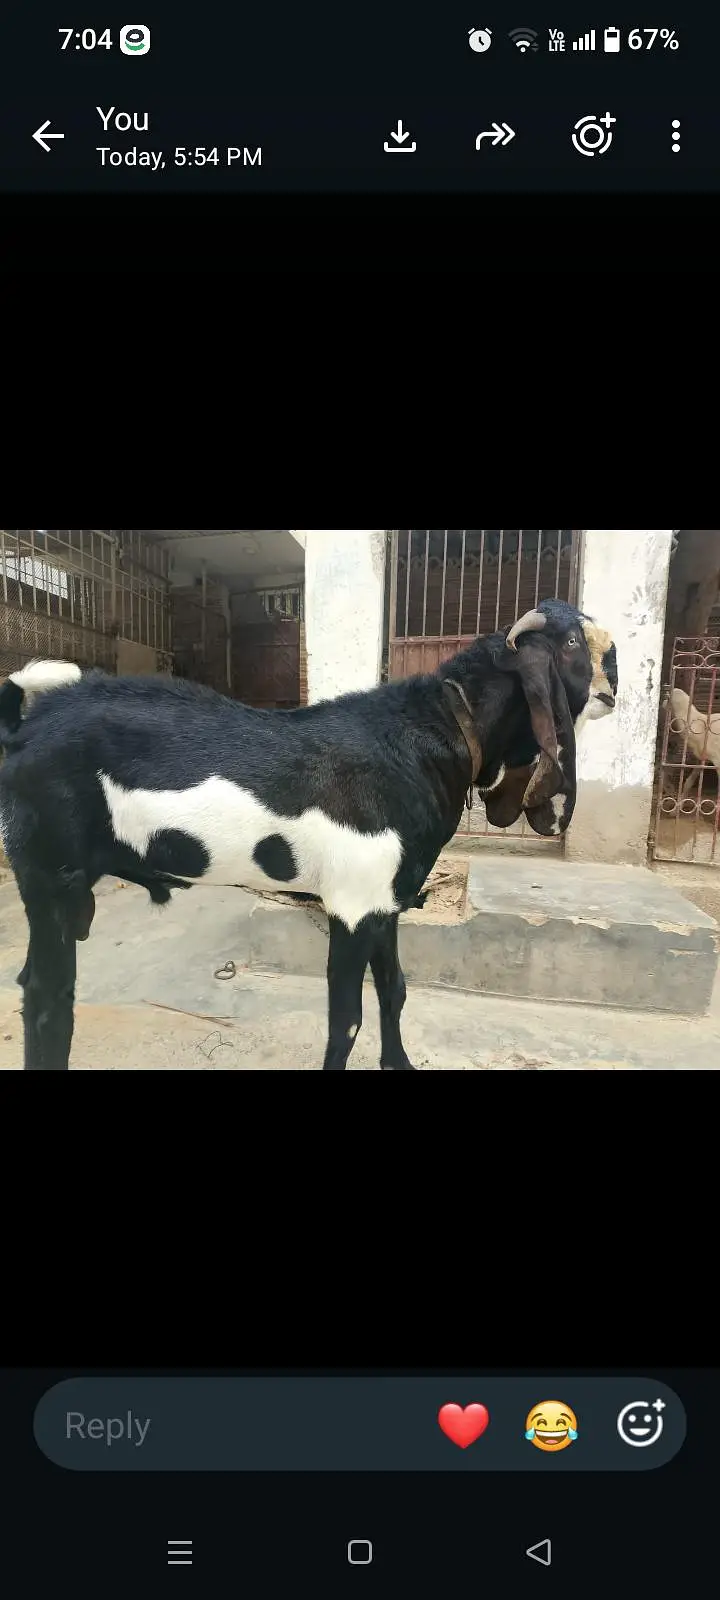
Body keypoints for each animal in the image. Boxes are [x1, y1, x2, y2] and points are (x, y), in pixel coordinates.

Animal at [0, 598, 618, 1071]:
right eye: (570, 643)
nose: (614, 686)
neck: (426, 735)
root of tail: (29, 727)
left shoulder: (384, 901)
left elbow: (393, 990)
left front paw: (400, 1064)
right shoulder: (350, 904)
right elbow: (345, 1019)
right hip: (50, 875)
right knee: (48, 999)